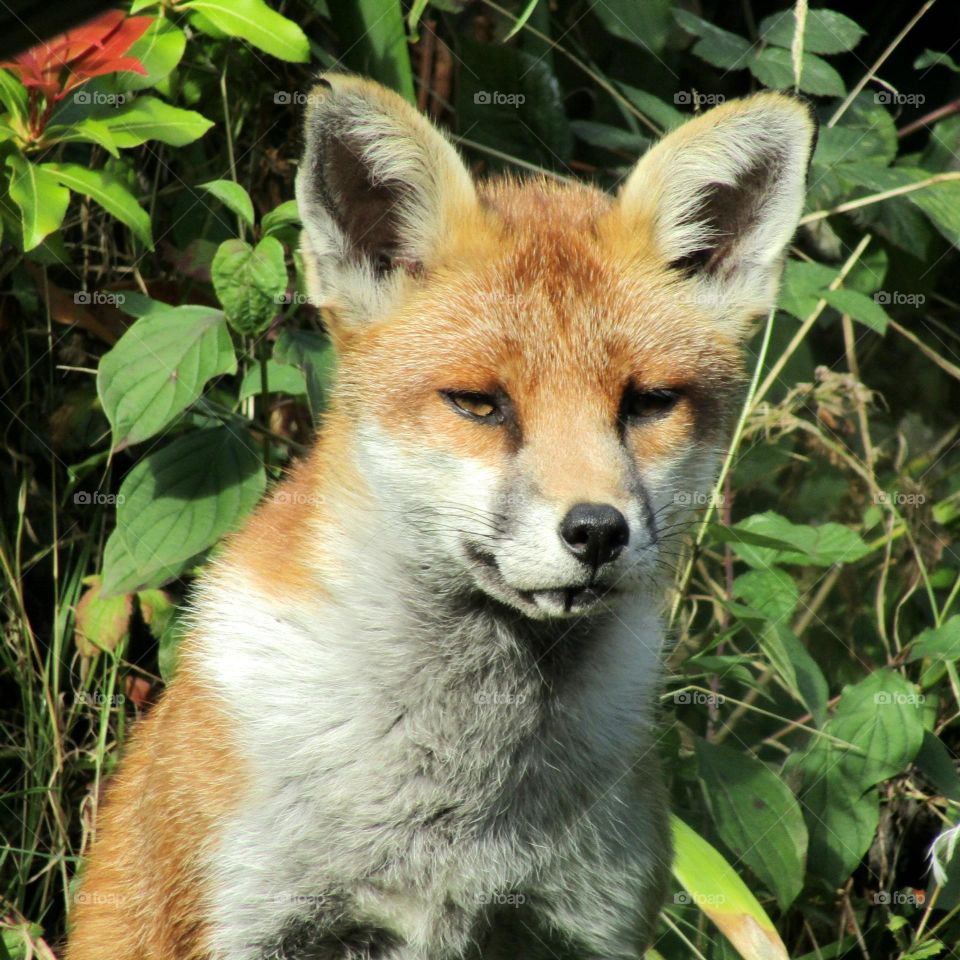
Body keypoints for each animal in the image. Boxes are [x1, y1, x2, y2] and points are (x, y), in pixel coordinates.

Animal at [65, 75, 816, 960]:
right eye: (479, 404)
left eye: (648, 403)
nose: (597, 531)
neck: (458, 807)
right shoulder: (247, 921)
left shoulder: (583, 924)